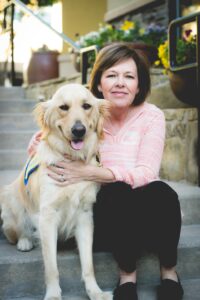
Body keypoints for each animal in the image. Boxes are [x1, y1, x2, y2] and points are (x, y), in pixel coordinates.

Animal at [0, 84, 111, 300]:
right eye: (63, 107)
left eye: (86, 106)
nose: (79, 130)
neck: (72, 158)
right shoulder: (47, 216)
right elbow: (51, 267)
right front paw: (53, 294)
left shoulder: (85, 216)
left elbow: (88, 265)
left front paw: (95, 292)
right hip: (11, 200)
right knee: (18, 231)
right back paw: (25, 242)